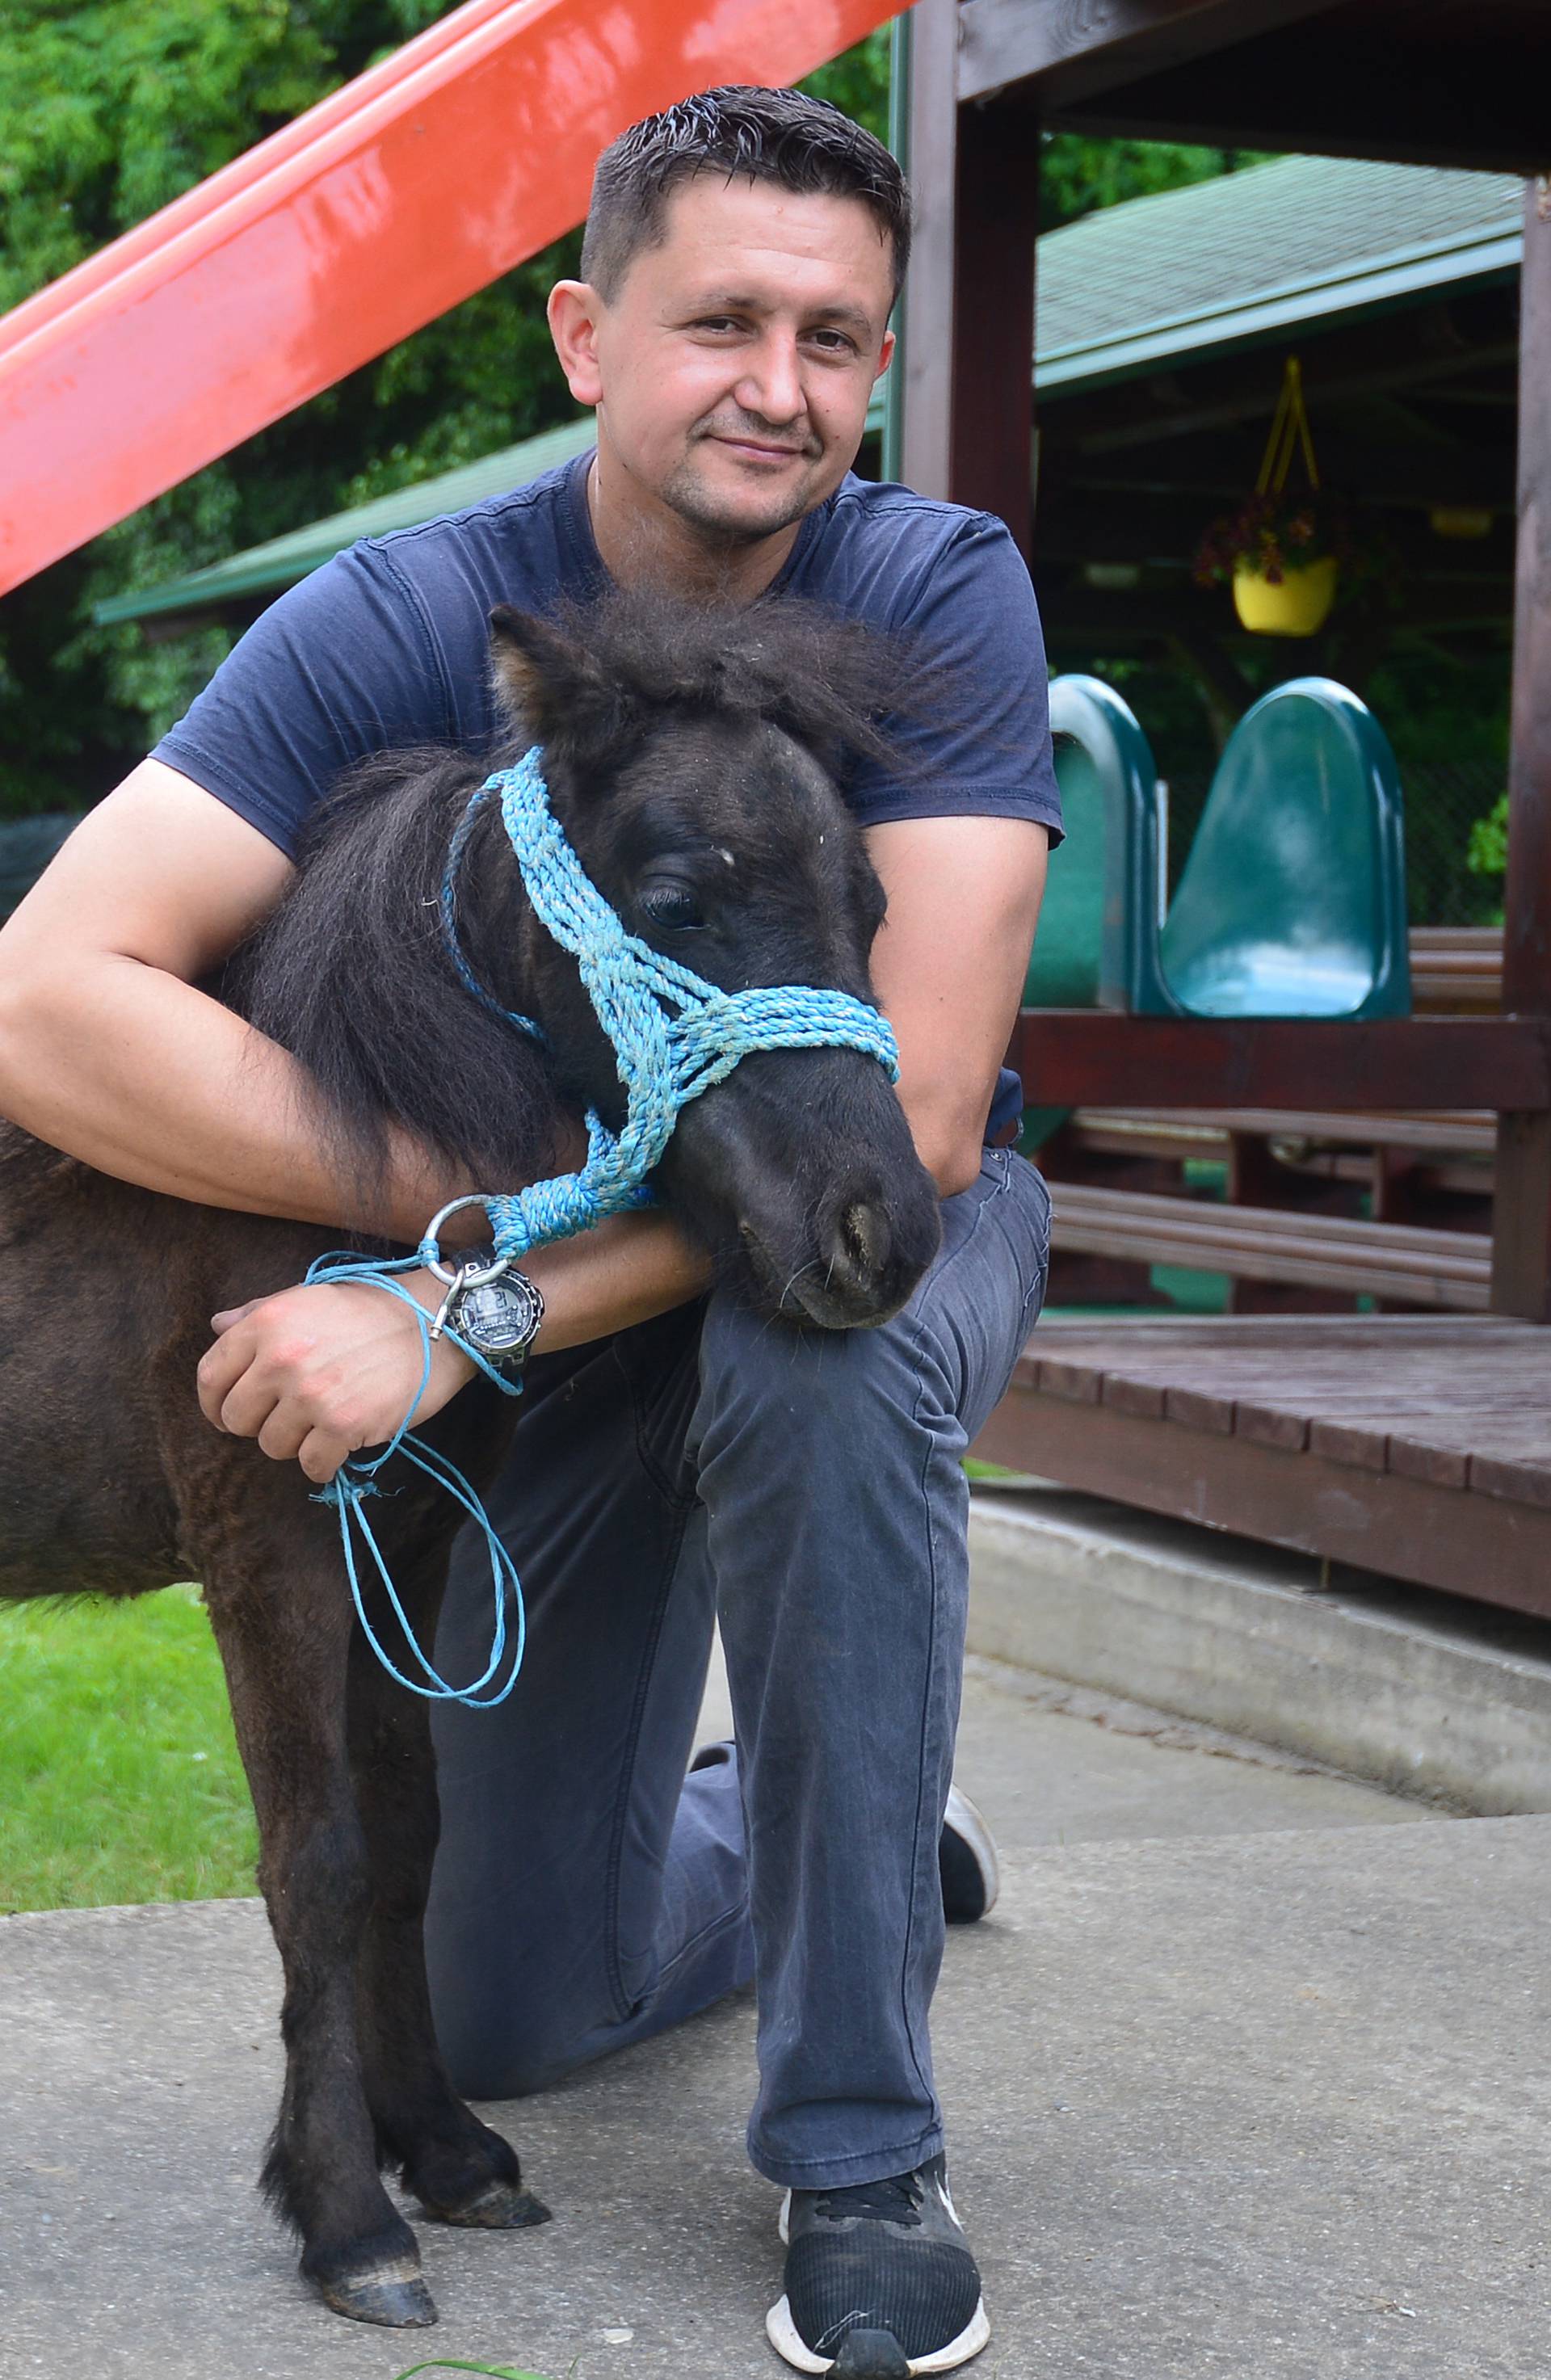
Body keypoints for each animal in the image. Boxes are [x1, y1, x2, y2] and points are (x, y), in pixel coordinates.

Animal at [0, 595, 937, 2323]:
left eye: (875, 904)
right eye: (676, 900)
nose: (880, 1234)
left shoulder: (418, 1544)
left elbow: (409, 1841)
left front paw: (438, 2148)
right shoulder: (273, 1544)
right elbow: (316, 1856)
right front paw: (343, 2213)